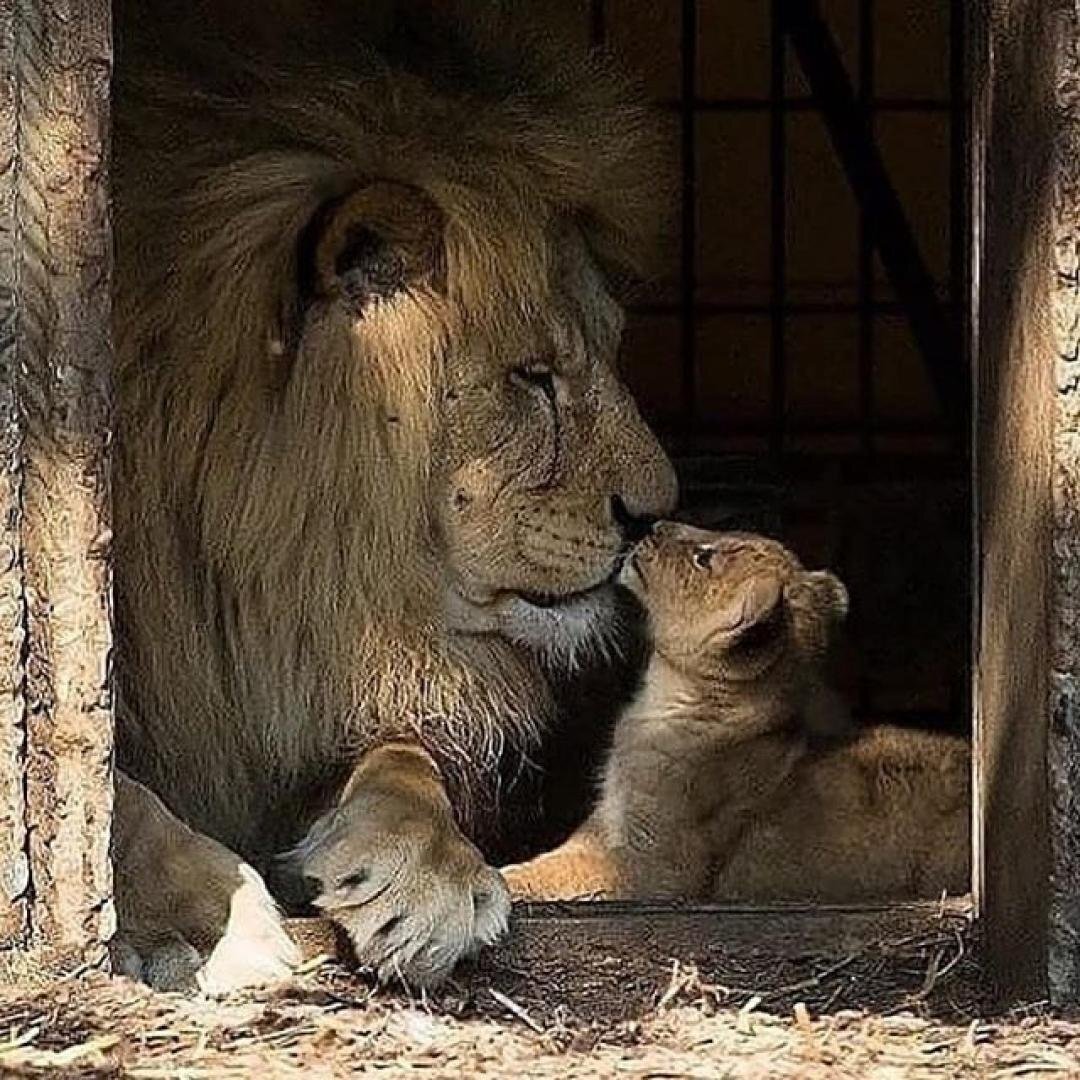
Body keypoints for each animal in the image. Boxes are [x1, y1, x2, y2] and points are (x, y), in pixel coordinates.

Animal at [111, 0, 673, 989]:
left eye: (608, 349)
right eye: (532, 377)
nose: (655, 511)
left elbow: (407, 763)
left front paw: (429, 876)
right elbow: (117, 790)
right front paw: (207, 922)